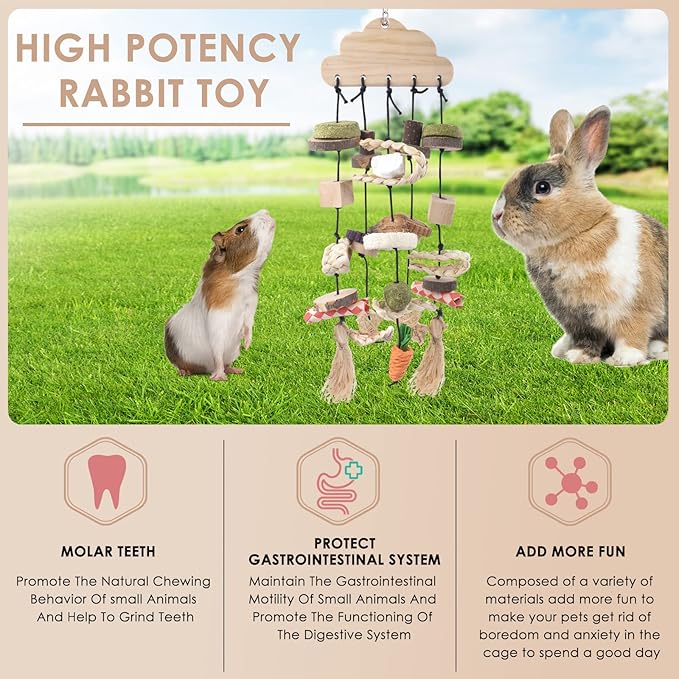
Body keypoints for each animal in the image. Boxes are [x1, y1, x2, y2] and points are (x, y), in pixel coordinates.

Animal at [164, 209, 276, 380]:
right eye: (240, 229)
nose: (266, 211)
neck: (240, 278)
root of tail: (203, 369)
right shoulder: (217, 321)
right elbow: (217, 352)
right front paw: (219, 379)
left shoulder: (250, 306)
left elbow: (248, 326)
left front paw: (247, 345)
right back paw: (188, 373)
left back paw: (237, 370)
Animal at [491, 106, 667, 367]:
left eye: (542, 187)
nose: (496, 214)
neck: (581, 232)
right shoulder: (579, 321)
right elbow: (587, 339)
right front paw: (579, 357)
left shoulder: (636, 309)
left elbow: (632, 335)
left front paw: (622, 360)